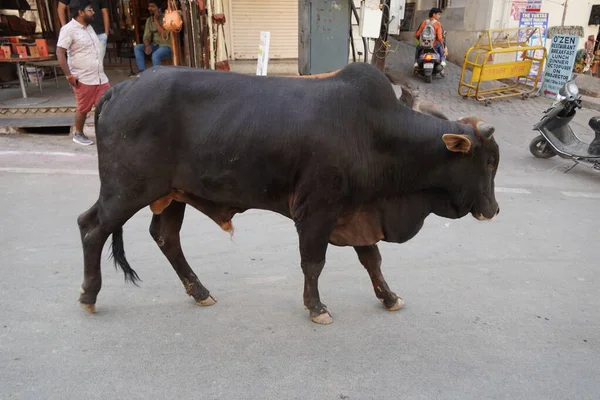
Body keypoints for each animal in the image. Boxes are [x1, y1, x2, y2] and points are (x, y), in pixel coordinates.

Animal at [77, 63, 500, 324]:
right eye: (489, 163)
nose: (494, 210)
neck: (378, 132)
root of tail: (119, 89)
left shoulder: (356, 210)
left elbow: (372, 260)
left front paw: (389, 296)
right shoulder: (317, 209)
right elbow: (314, 262)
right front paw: (316, 307)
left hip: (171, 195)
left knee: (166, 237)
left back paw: (199, 291)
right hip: (125, 189)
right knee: (91, 227)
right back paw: (89, 295)